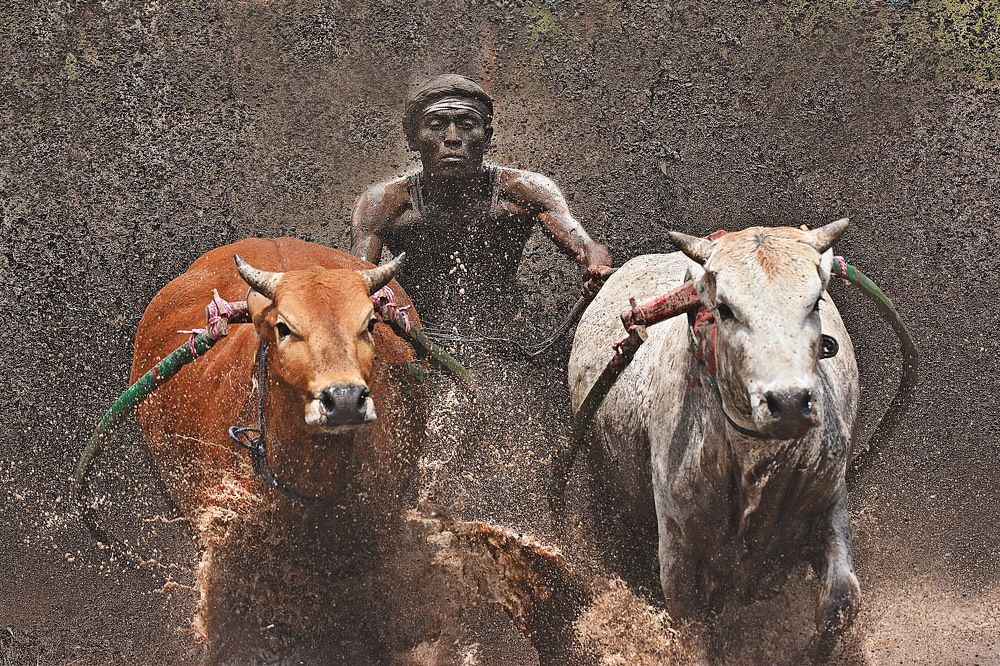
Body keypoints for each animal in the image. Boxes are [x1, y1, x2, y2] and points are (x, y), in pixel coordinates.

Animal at [568, 220, 861, 660]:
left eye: (814, 303)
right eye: (725, 308)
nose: (790, 402)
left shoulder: (828, 500)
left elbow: (841, 600)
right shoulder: (678, 548)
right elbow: (692, 630)